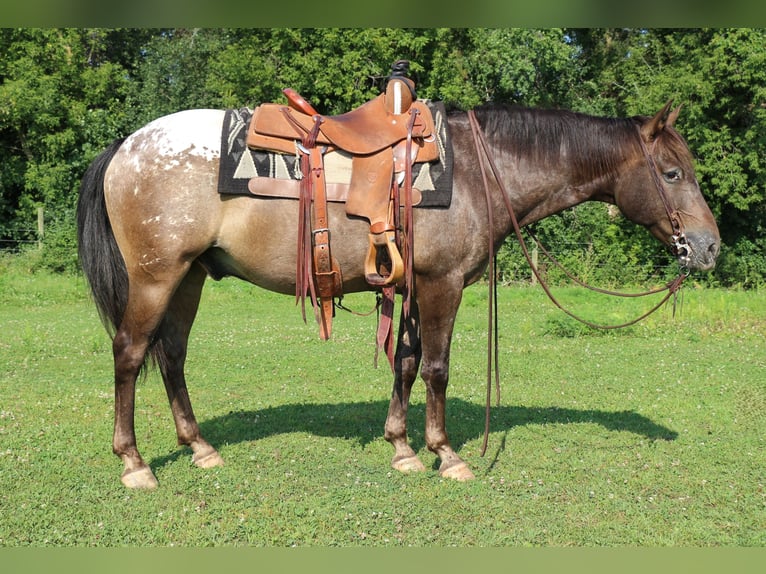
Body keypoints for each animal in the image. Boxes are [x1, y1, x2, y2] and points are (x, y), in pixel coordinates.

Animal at [76, 99, 720, 490]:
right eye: (671, 174)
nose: (710, 247)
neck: (479, 172)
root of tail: (126, 146)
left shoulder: (412, 285)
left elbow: (405, 364)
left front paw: (402, 447)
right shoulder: (443, 284)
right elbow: (435, 367)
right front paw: (446, 454)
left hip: (188, 277)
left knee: (171, 355)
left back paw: (199, 446)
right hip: (156, 277)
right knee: (130, 353)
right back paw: (135, 463)